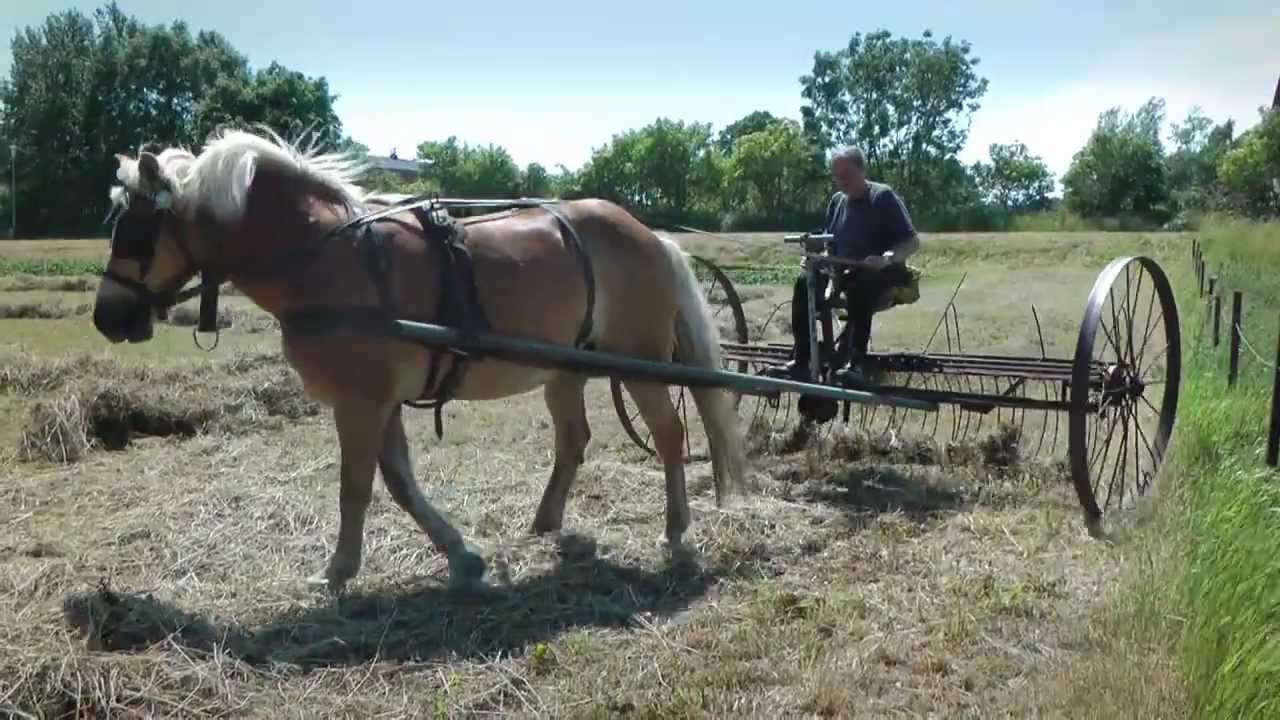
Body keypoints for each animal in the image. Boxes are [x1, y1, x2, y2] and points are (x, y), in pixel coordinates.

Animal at [91, 127, 750, 593]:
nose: (106, 318)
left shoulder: (360, 402)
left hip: (640, 363)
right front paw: (461, 555)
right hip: (563, 369)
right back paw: (546, 521)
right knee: (574, 439)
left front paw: (338, 570)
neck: (325, 257)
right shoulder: (381, 401)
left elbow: (356, 486)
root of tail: (651, 235)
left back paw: (677, 532)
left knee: (669, 435)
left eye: (136, 227)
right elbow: (400, 482)